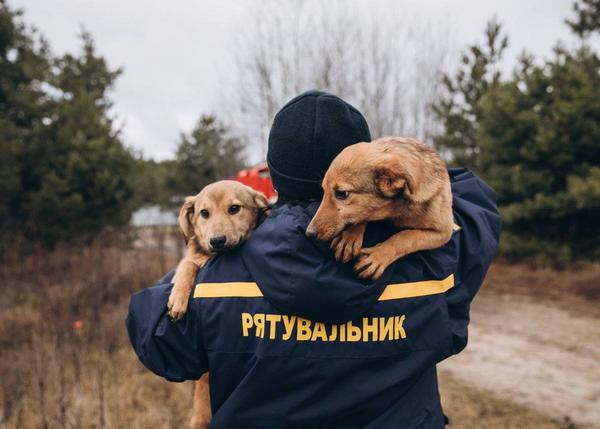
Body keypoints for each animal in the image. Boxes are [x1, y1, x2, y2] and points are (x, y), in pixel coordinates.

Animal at [165, 179, 266, 428]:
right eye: (204, 213)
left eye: (234, 209)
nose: (217, 241)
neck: (214, 256)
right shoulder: (189, 260)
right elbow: (187, 264)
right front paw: (178, 298)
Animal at [308, 135, 452, 280]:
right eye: (323, 191)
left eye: (342, 193)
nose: (309, 233)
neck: (396, 209)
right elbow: (363, 215)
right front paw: (350, 236)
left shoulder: (444, 232)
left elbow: (406, 236)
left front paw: (378, 256)